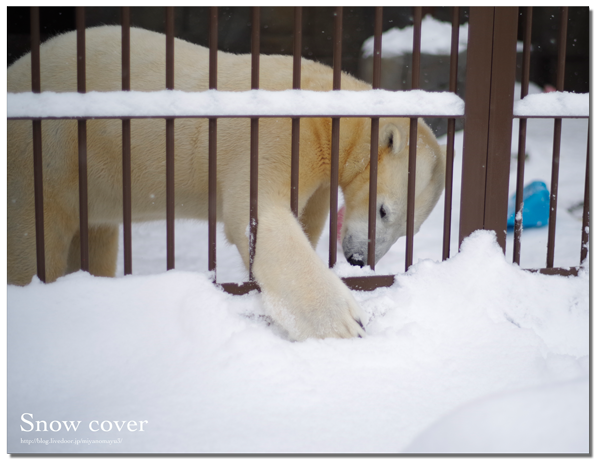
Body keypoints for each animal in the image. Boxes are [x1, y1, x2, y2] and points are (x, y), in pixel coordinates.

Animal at [5, 25, 446, 338]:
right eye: (383, 210)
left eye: (406, 229)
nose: (356, 258)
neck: (321, 107)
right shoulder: (275, 133)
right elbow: (257, 216)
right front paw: (347, 322)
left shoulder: (320, 173)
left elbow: (306, 216)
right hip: (44, 157)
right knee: (34, 238)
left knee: (95, 236)